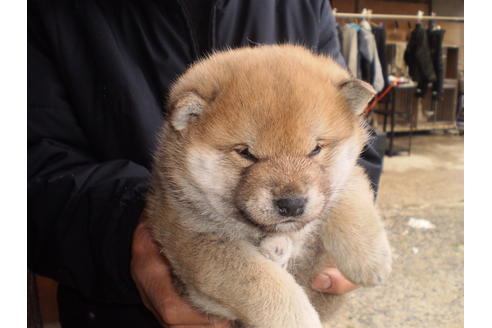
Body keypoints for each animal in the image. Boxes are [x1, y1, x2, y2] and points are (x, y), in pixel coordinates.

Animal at [146, 44, 392, 328]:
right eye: (246, 153)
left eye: (315, 149)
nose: (292, 204)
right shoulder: (195, 240)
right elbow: (264, 282)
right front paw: (298, 318)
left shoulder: (342, 177)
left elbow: (349, 193)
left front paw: (371, 259)